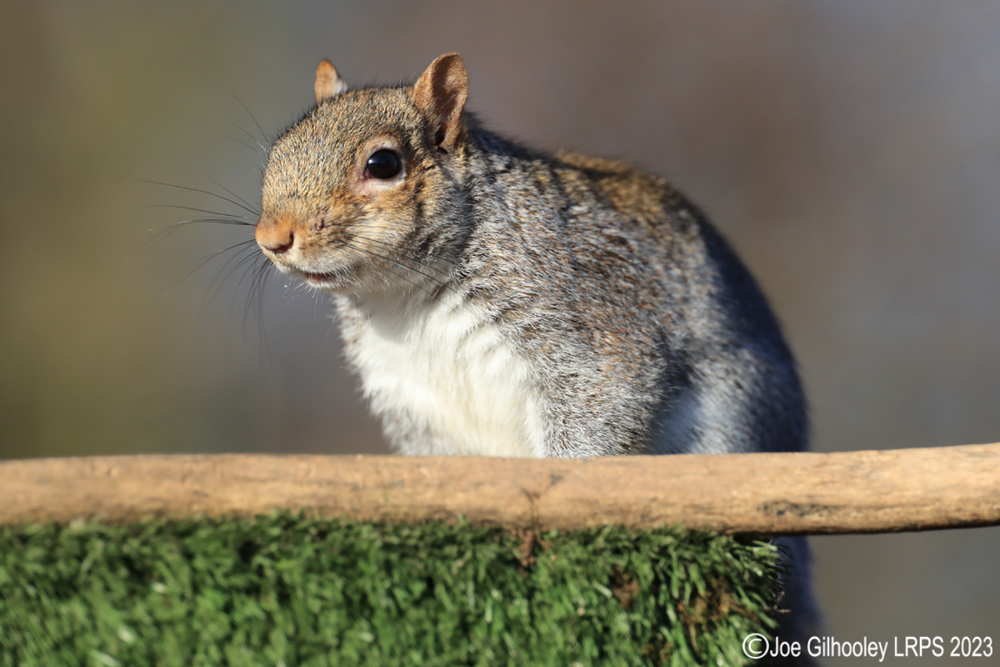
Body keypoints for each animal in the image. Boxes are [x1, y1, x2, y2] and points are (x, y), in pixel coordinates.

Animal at [253, 53, 819, 658]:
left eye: (383, 163)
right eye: (278, 149)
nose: (272, 237)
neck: (405, 296)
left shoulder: (592, 327)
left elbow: (602, 410)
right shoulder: (411, 400)